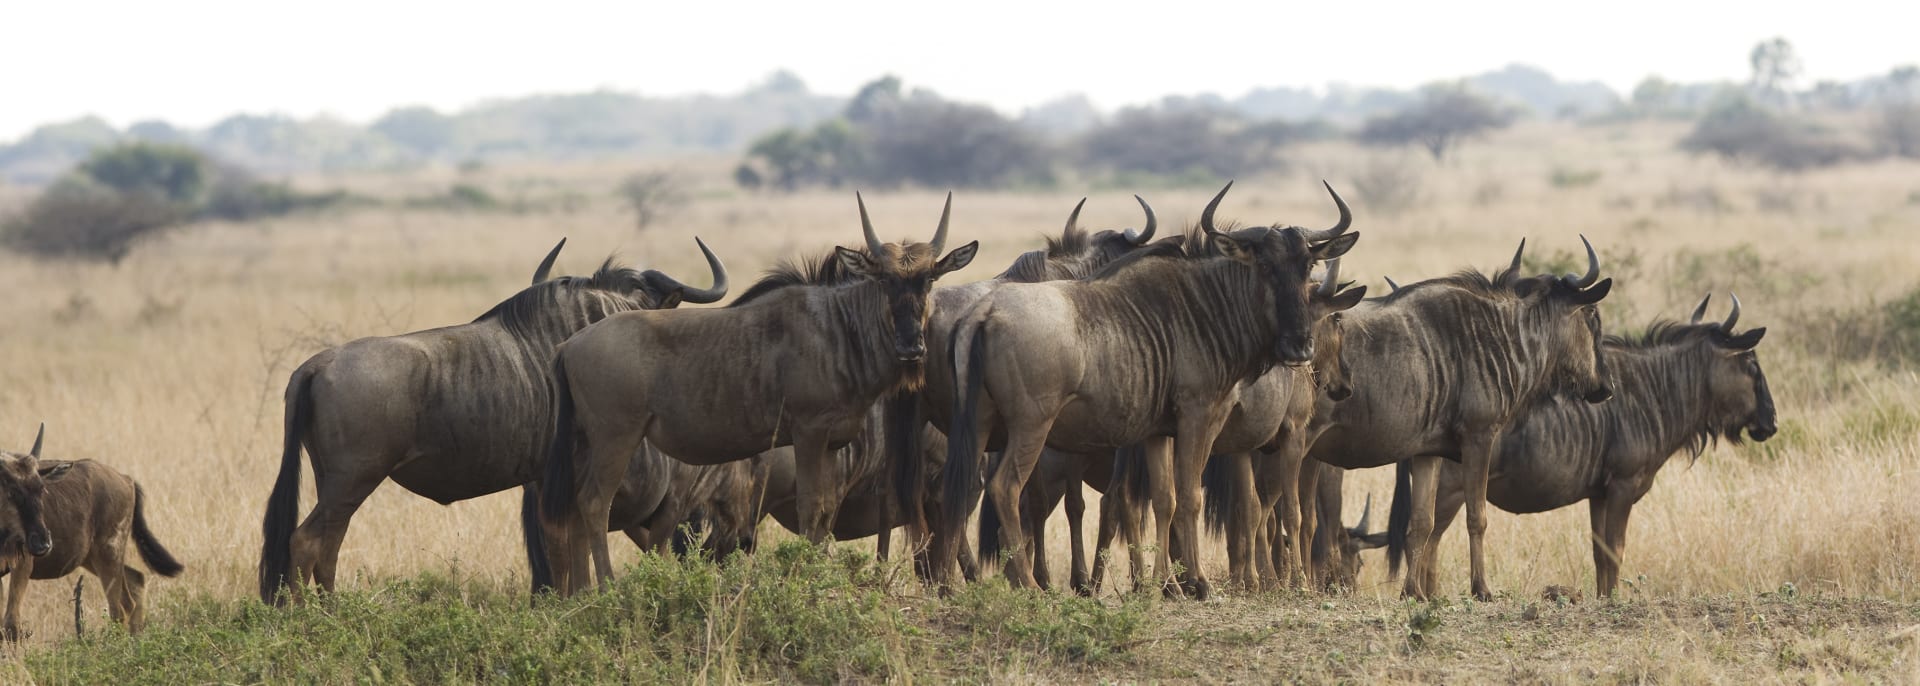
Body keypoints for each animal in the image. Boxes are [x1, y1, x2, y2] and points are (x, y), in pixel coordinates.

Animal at [1, 424, 182, 637]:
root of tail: (126, 479)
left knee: (119, 609)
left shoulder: (22, 564)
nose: (43, 544)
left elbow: (11, 624)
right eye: (10, 492)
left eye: (41, 489)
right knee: (135, 582)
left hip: (108, 553)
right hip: (92, 558)